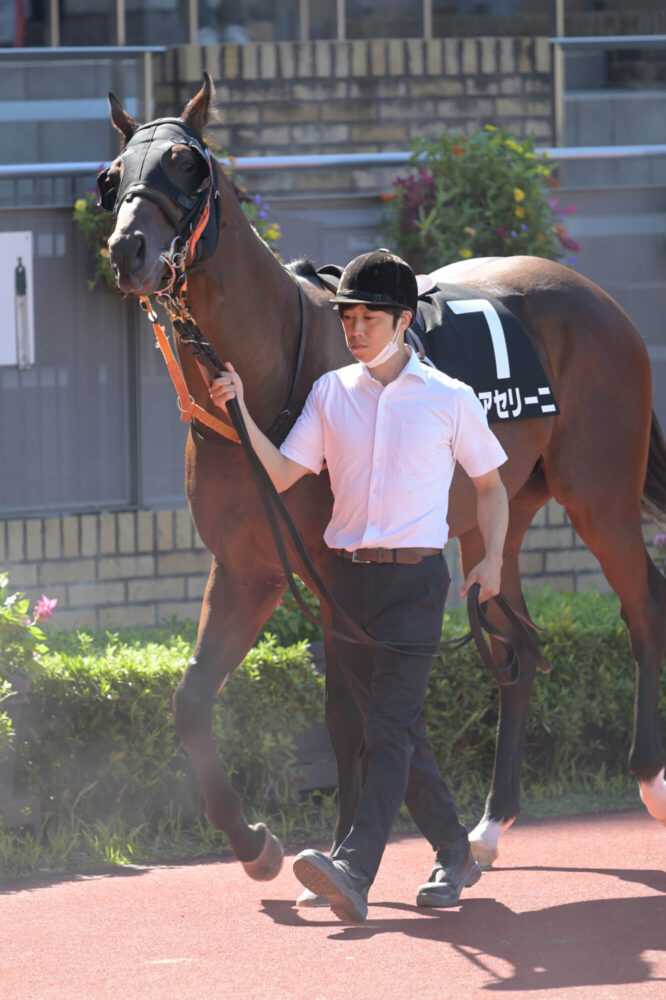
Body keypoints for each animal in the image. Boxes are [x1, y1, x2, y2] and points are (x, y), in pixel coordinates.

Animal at [102, 76, 664, 876]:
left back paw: (648, 777)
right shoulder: (246, 569)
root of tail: (599, 301)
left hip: (600, 496)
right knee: (517, 648)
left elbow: (348, 713)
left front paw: (341, 850)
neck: (273, 377)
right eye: (112, 176)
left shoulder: (336, 570)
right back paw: (492, 823)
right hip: (494, 519)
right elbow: (191, 699)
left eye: (186, 164)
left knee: (643, 606)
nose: (130, 249)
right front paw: (256, 844)